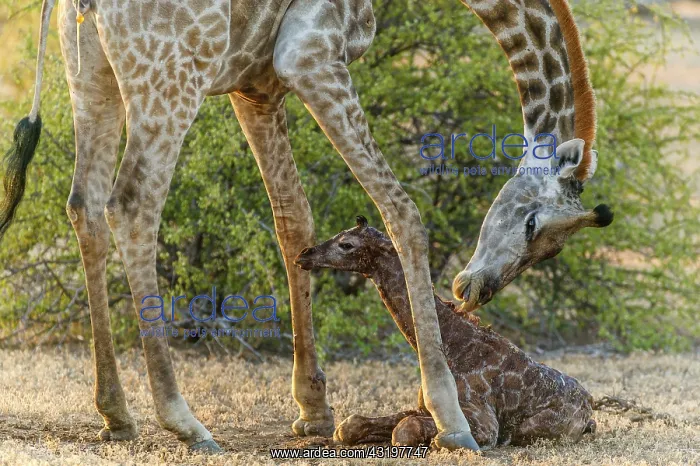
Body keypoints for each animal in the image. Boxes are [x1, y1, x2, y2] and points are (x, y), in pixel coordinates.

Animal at [294, 216, 597, 448]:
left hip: (530, 429)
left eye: (346, 244)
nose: (303, 255)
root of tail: (589, 410)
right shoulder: (424, 407)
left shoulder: (485, 425)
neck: (454, 347)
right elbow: (350, 425)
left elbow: (405, 430)